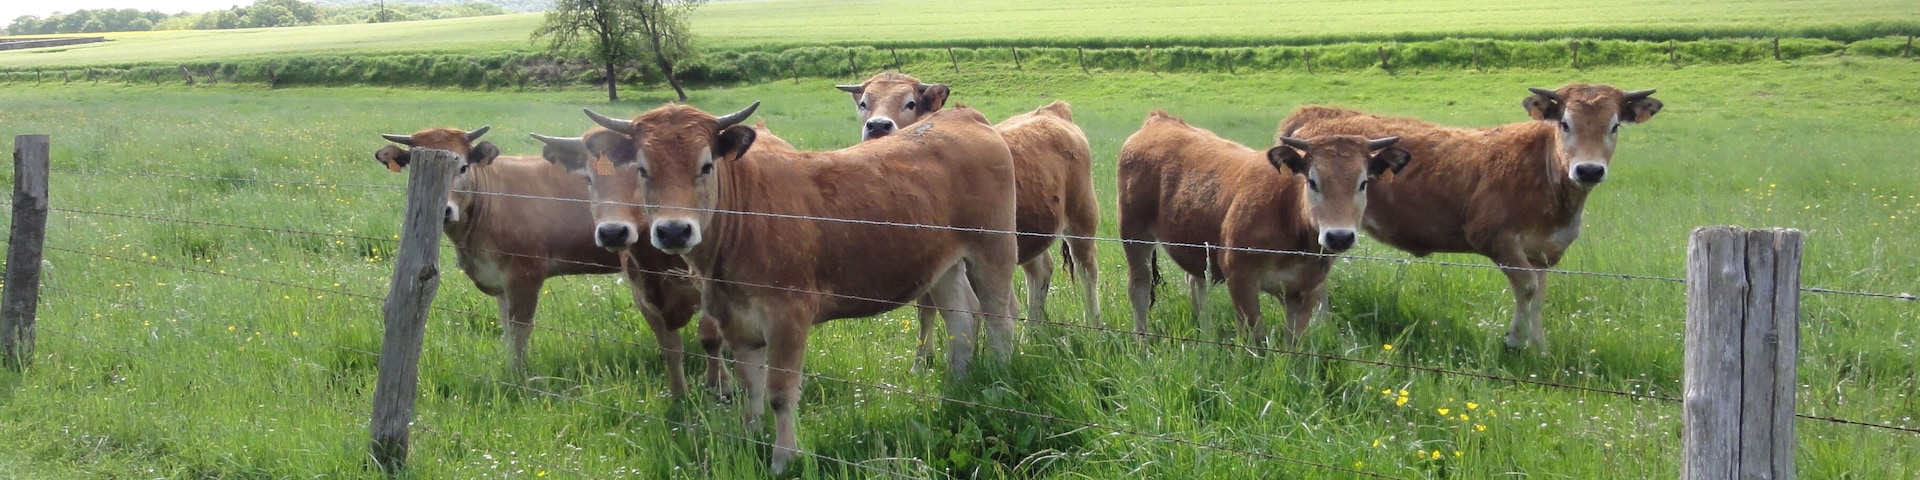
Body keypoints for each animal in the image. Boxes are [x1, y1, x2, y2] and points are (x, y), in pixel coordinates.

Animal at [374, 126, 725, 398]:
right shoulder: (500, 282)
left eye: (462, 168)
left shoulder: (524, 275)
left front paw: (519, 376)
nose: (444, 211)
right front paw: (510, 367)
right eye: (412, 167)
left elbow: (520, 329)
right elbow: (506, 328)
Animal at [556, 102, 1018, 473]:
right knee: (961, 320)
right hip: (945, 266)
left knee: (998, 315)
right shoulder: (735, 320)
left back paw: (999, 378)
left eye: (705, 165)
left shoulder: (788, 317)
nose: (672, 231)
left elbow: (779, 392)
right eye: (643, 169)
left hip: (994, 248)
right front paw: (750, 437)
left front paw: (782, 458)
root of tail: (961, 116)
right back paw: (958, 385)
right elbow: (751, 386)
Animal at [837, 73, 1101, 344]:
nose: (878, 126)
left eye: (910, 103)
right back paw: (1031, 334)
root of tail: (1053, 111)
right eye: (864, 103)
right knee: (1040, 273)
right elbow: (928, 312)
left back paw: (1095, 326)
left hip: (1082, 219)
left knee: (1087, 270)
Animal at [1117, 111, 1410, 346]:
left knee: (1196, 286)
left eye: (1363, 183)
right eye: (1312, 181)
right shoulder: (1241, 278)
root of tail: (1159, 120)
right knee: (1139, 288)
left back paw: (1206, 339)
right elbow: (1256, 338)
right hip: (1134, 235)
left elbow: (1294, 343)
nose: (1339, 236)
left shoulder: (1305, 290)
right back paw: (1142, 344)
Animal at [1278, 84, 1663, 351]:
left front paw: (1539, 346)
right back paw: (1321, 324)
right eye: (1565, 124)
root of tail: (1316, 112)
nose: (1589, 169)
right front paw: (1513, 342)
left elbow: (1539, 294)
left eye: (1614, 126)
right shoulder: (1496, 237)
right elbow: (1526, 287)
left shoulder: (1545, 251)